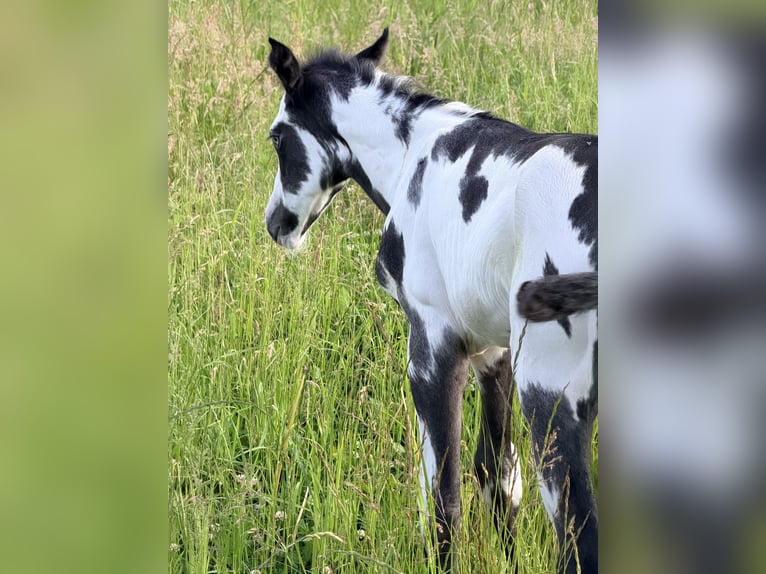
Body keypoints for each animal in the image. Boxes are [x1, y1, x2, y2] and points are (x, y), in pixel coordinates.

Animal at [264, 28, 598, 573]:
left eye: (277, 137)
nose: (276, 224)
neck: (414, 156)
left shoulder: (432, 351)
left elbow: (443, 500)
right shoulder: (494, 356)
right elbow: (498, 478)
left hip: (550, 397)